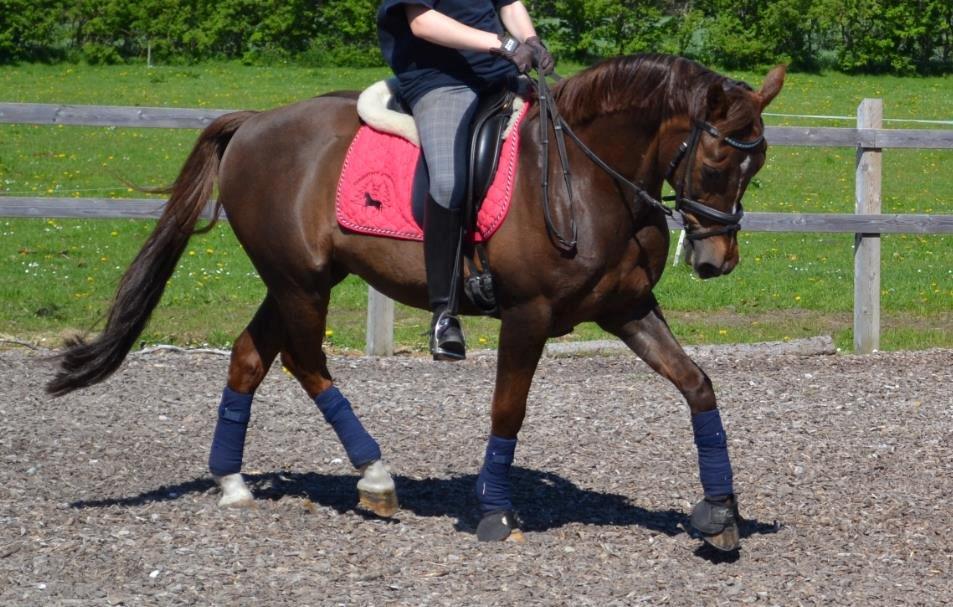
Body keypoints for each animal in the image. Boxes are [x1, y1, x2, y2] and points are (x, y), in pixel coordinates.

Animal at [47, 53, 785, 551]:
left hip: (298, 280)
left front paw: (720, 512)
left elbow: (697, 385)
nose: (715, 261)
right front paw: (493, 510)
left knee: (250, 356)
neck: (585, 175)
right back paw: (374, 478)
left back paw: (232, 482)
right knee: (305, 362)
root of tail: (255, 123)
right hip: (300, 282)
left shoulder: (626, 309)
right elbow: (508, 409)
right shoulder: (528, 315)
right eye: (718, 160)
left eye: (759, 164)